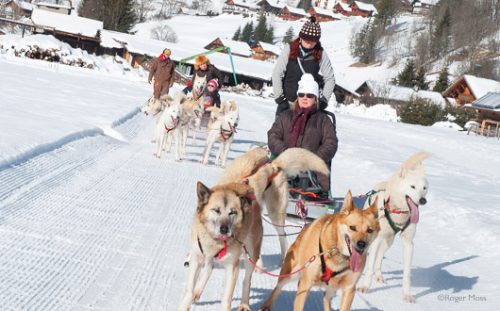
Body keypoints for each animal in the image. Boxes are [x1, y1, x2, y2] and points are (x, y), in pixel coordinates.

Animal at [178, 148, 330, 311]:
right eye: (216, 210)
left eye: (232, 212)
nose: (225, 229)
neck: (215, 242)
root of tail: (273, 165)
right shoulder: (198, 258)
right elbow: (190, 288)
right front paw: (187, 302)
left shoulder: (233, 266)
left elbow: (227, 298)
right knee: (209, 267)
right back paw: (199, 290)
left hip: (271, 220)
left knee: (278, 242)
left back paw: (247, 300)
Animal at [358, 152, 432, 304]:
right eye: (412, 187)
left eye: (424, 188)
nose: (423, 200)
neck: (398, 211)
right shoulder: (376, 240)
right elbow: (369, 266)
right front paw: (365, 286)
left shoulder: (409, 243)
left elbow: (406, 273)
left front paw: (407, 294)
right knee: (369, 256)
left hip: (389, 241)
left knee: (379, 258)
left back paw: (379, 275)